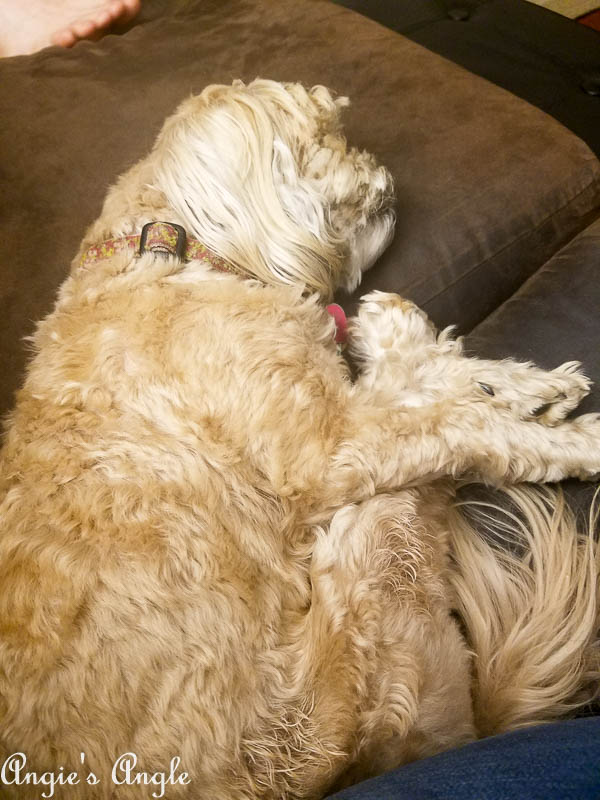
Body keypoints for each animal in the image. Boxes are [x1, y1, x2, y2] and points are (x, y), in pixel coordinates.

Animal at [0, 76, 596, 800]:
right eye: (322, 140)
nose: (384, 172)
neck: (173, 252)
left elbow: (437, 394)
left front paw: (536, 386)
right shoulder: (329, 451)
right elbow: (457, 421)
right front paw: (574, 438)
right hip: (356, 570)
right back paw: (398, 328)